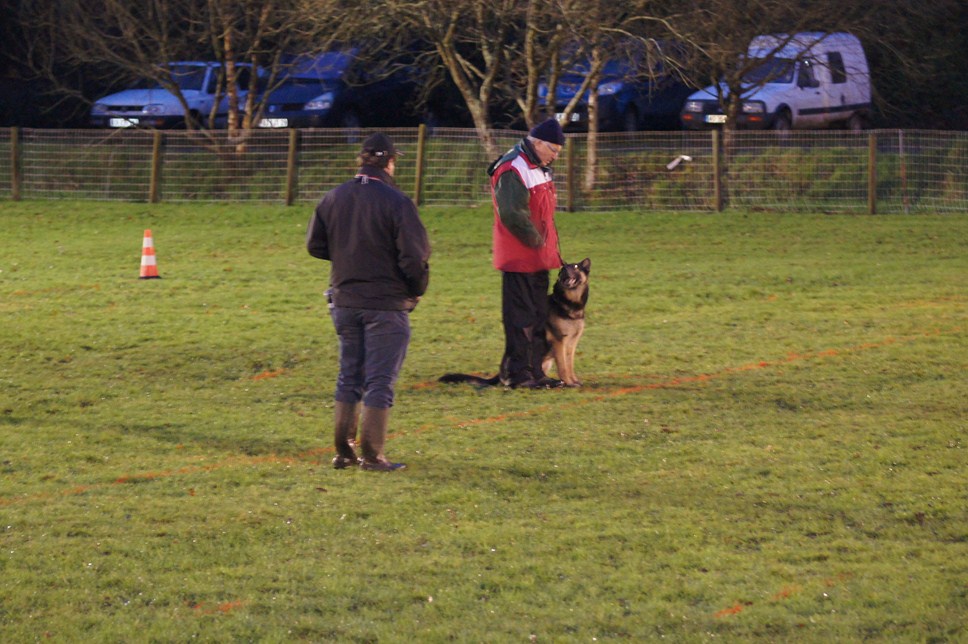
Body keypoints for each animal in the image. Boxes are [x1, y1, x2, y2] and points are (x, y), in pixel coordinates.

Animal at [440, 256, 588, 388]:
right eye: (563, 268)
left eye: (575, 266)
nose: (565, 269)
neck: (568, 302)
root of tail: (501, 373)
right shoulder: (559, 342)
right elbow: (563, 367)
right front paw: (569, 383)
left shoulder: (571, 344)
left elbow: (569, 365)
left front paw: (574, 381)